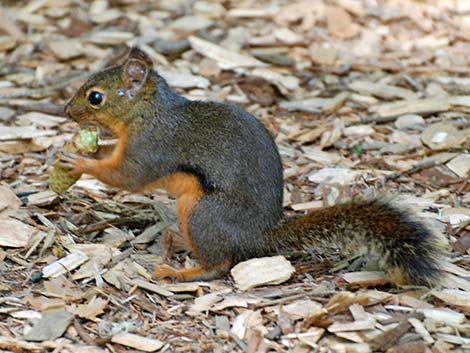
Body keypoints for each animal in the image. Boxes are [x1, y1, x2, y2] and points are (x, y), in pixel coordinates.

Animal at [60, 47, 446, 284]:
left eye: (95, 97)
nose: (66, 111)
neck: (148, 112)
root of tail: (259, 238)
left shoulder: (151, 147)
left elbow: (127, 177)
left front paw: (78, 161)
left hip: (202, 214)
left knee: (218, 265)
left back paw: (181, 273)